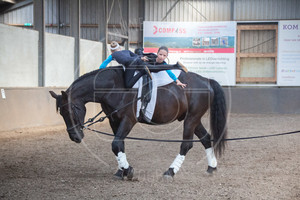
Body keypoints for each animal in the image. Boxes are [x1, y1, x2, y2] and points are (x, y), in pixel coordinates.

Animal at [49, 67, 227, 180]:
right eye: (62, 113)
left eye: (72, 109)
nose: (75, 136)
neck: (114, 87)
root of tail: (207, 81)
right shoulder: (114, 121)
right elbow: (119, 144)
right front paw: (121, 170)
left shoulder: (128, 119)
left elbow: (115, 144)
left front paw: (128, 171)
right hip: (192, 119)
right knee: (206, 138)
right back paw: (211, 168)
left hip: (191, 118)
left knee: (186, 145)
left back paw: (170, 172)